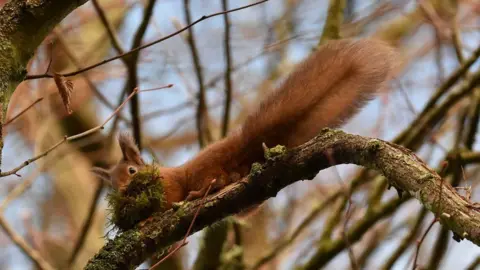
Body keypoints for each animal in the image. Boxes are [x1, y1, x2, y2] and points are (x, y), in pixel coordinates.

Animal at [91, 39, 398, 210]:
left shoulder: (168, 186)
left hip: (205, 171)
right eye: (111, 186)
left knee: (217, 180)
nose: (124, 192)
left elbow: (166, 199)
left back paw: (202, 191)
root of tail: (239, 149)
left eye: (131, 171)